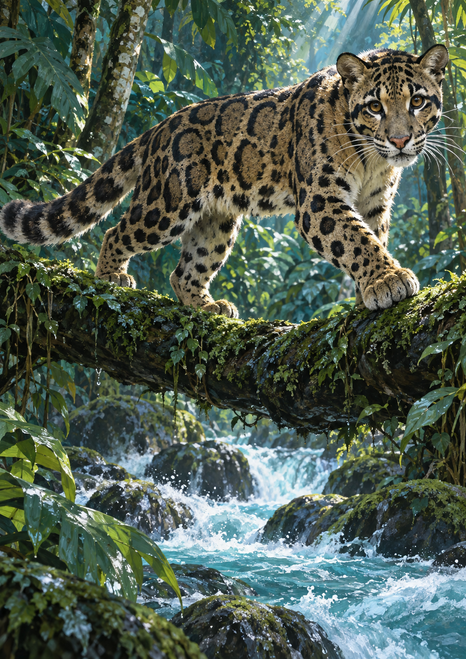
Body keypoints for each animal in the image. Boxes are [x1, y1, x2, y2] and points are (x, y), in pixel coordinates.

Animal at [0, 44, 449, 318]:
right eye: (374, 106)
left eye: (418, 101)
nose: (400, 140)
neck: (372, 160)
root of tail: (161, 125)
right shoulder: (319, 200)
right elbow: (356, 240)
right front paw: (390, 280)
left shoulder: (375, 203)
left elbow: (370, 238)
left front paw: (366, 293)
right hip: (167, 202)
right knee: (116, 232)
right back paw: (113, 277)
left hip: (216, 221)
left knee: (184, 271)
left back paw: (207, 307)